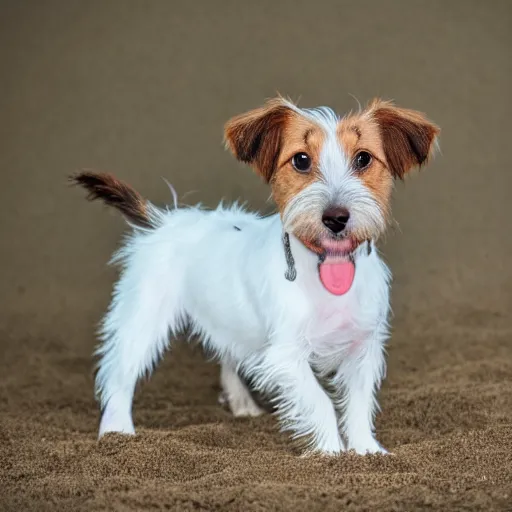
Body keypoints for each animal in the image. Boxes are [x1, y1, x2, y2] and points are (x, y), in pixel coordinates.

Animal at [73, 97, 440, 456]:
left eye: (363, 158)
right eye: (301, 160)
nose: (336, 218)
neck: (325, 269)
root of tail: (164, 221)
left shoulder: (363, 348)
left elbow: (359, 405)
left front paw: (366, 450)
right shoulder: (286, 356)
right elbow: (321, 402)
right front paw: (330, 453)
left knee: (227, 352)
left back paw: (241, 403)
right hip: (142, 320)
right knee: (118, 373)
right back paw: (117, 431)